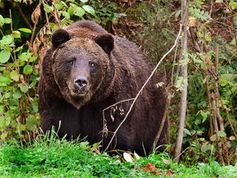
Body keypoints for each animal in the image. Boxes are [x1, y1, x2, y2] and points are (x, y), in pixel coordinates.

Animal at [39, 20, 167, 155]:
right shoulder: (56, 98)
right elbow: (56, 128)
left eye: (92, 63)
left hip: (154, 112)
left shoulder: (111, 102)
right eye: (71, 60)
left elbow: (115, 137)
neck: (82, 103)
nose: (81, 81)